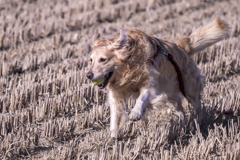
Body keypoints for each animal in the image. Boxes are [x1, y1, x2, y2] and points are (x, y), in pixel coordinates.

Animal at [86, 17, 231, 138]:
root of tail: (179, 46)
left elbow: (141, 98)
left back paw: (199, 120)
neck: (128, 69)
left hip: (189, 88)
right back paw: (182, 122)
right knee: (180, 107)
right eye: (91, 60)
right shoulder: (116, 94)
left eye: (103, 59)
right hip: (171, 91)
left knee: (197, 105)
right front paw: (113, 135)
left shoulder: (151, 83)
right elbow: (115, 115)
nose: (88, 75)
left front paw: (135, 112)